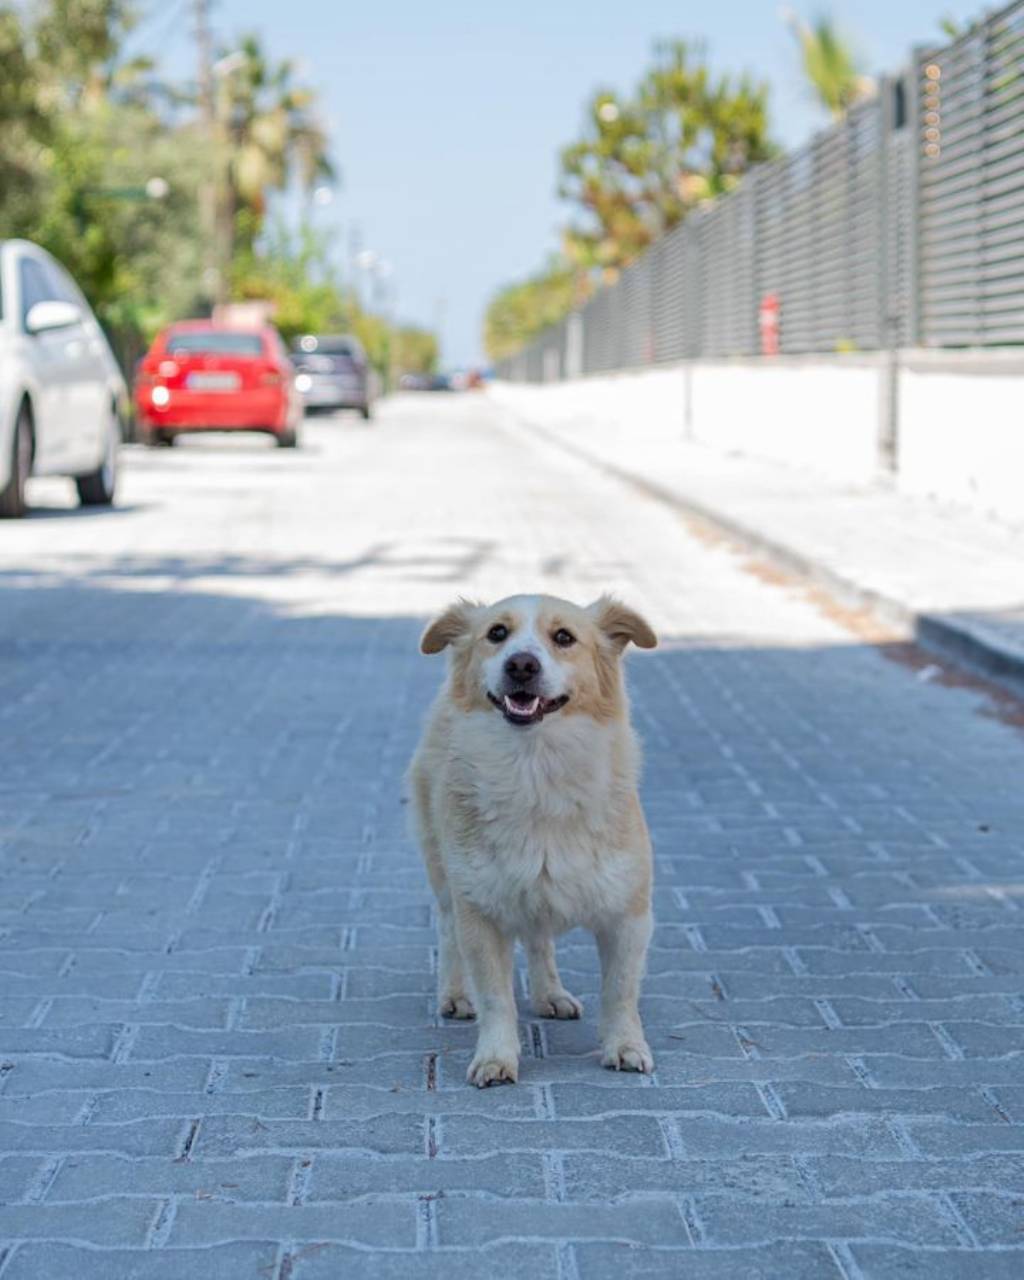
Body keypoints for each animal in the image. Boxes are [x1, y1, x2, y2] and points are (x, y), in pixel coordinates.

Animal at [412, 593, 660, 1085]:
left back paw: (551, 995)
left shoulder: (628, 914)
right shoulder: (479, 912)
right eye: (496, 633)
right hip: (444, 874)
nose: (521, 664)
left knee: (540, 939)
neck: (535, 771)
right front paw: (495, 1057)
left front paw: (625, 1046)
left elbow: (621, 992)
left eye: (563, 637)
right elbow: (495, 998)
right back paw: (455, 995)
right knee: (447, 931)